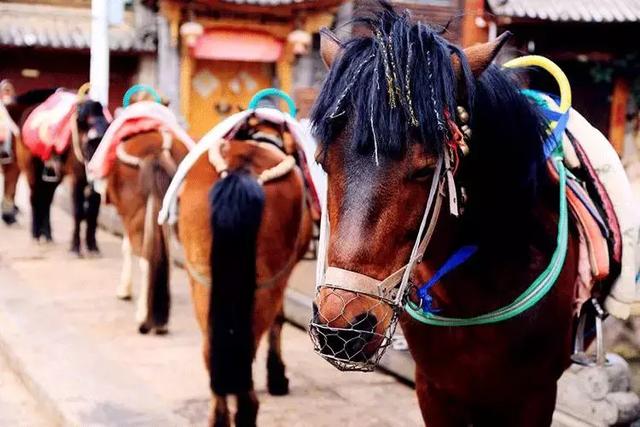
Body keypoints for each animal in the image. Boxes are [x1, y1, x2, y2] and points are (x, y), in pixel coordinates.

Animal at [16, 88, 109, 254]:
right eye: (89, 144)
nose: (98, 169)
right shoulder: (77, 180)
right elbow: (78, 211)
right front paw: (75, 246)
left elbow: (93, 212)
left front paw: (92, 246)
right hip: (31, 171)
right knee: (35, 200)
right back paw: (35, 235)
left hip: (53, 176)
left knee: (46, 201)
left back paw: (47, 235)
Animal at [174, 112, 314, 426]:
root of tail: (241, 173)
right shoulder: (281, 277)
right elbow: (279, 320)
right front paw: (277, 377)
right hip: (264, 287)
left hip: (204, 282)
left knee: (213, 352)